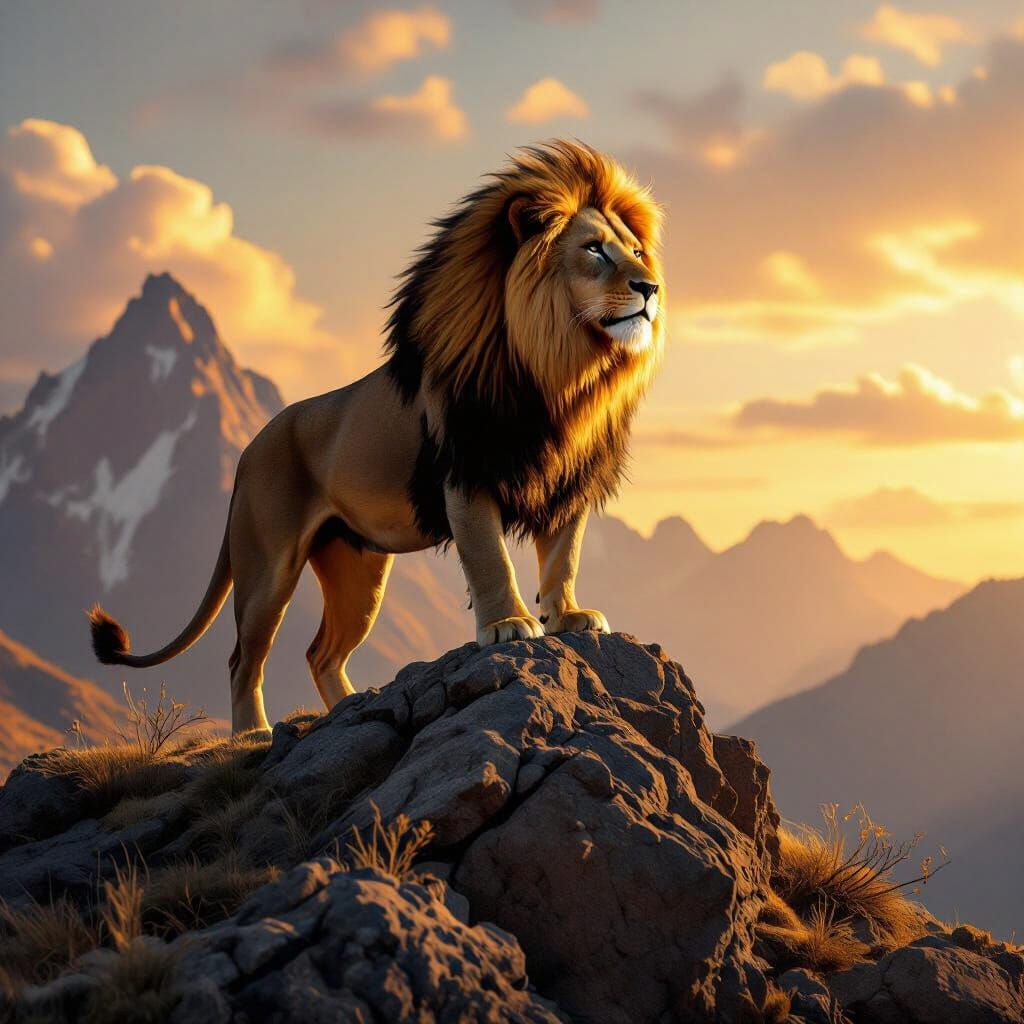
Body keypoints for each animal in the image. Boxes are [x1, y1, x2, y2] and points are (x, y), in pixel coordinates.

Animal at [90, 140, 666, 735]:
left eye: (636, 251)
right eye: (594, 250)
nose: (651, 288)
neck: (562, 374)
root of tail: (250, 447)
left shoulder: (568, 480)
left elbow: (563, 557)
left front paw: (568, 615)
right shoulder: (465, 475)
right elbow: (490, 557)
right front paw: (508, 623)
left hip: (357, 572)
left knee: (320, 652)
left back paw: (352, 705)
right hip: (268, 566)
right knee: (243, 658)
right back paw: (253, 733)